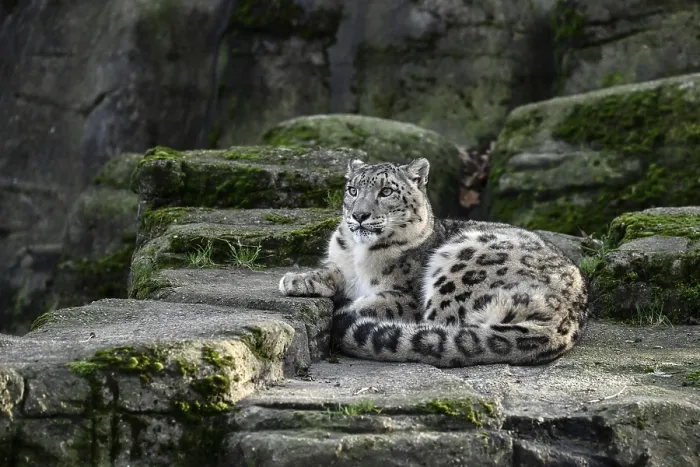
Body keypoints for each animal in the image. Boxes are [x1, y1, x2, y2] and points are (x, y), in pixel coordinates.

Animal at [279, 158, 589, 367]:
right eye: (352, 190)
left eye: (386, 192)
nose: (359, 215)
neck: (358, 254)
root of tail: (566, 322)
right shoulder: (341, 263)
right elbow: (330, 271)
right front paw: (296, 280)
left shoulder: (408, 296)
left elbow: (384, 301)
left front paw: (349, 304)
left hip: (459, 264)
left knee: (437, 326)